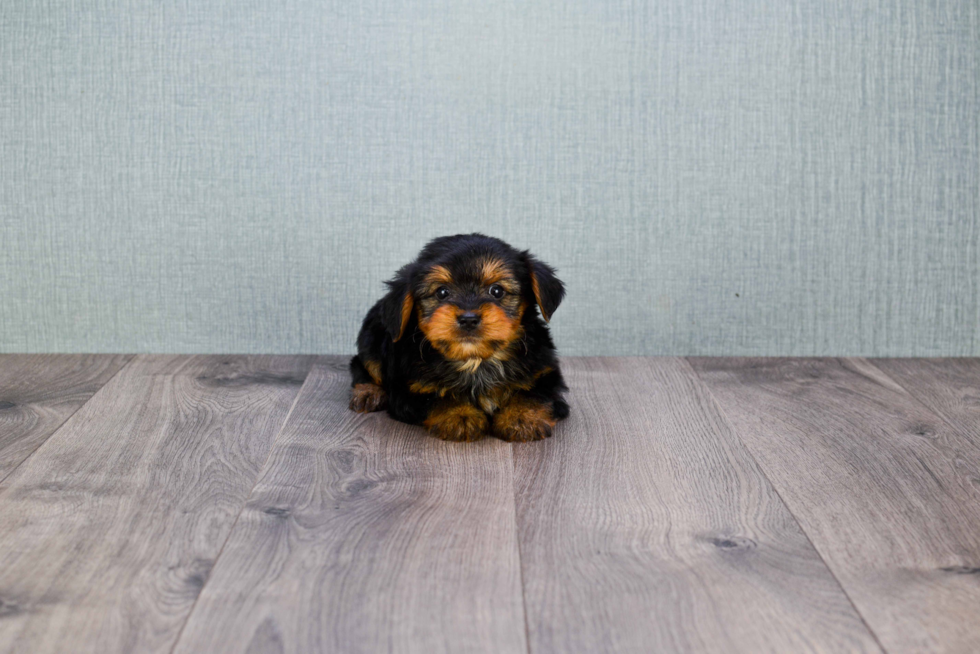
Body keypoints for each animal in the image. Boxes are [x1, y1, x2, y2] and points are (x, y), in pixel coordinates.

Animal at [348, 233, 572, 444]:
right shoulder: (409, 388)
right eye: (442, 292)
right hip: (373, 338)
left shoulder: (545, 373)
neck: (475, 360)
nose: (468, 319)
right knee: (363, 365)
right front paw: (459, 415)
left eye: (497, 291)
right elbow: (436, 397)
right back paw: (368, 392)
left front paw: (522, 418)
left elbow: (534, 393)